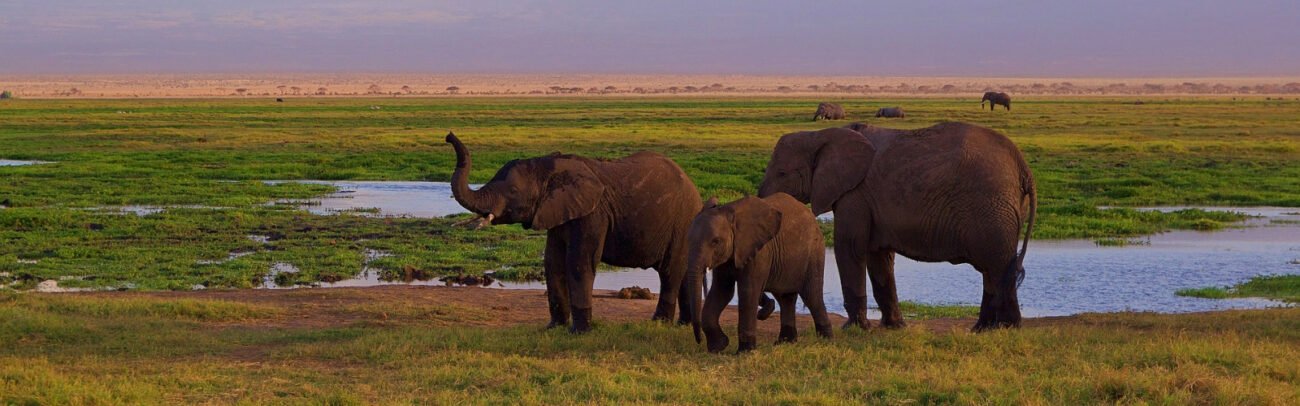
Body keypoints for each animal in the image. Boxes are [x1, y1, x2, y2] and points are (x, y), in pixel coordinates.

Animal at [449, 133, 712, 333]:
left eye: (513, 191)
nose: (449, 136)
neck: (548, 167)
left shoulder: (592, 215)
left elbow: (578, 263)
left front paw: (579, 332)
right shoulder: (558, 213)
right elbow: (552, 262)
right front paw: (553, 328)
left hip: (681, 223)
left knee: (669, 272)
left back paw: (660, 323)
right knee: (683, 274)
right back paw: (684, 325)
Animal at [686, 193, 826, 351]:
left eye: (715, 241)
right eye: (688, 240)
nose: (699, 341)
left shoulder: (759, 252)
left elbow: (748, 291)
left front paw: (744, 351)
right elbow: (721, 291)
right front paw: (719, 346)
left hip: (814, 251)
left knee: (812, 295)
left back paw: (826, 341)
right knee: (785, 298)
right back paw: (785, 342)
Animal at [754, 124, 1034, 333]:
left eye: (782, 173)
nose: (764, 311)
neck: (820, 135)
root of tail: (1022, 165)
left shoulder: (855, 193)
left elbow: (850, 248)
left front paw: (854, 329)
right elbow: (879, 258)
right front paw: (894, 327)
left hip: (992, 207)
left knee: (996, 265)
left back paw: (1005, 327)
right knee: (992, 268)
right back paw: (983, 329)